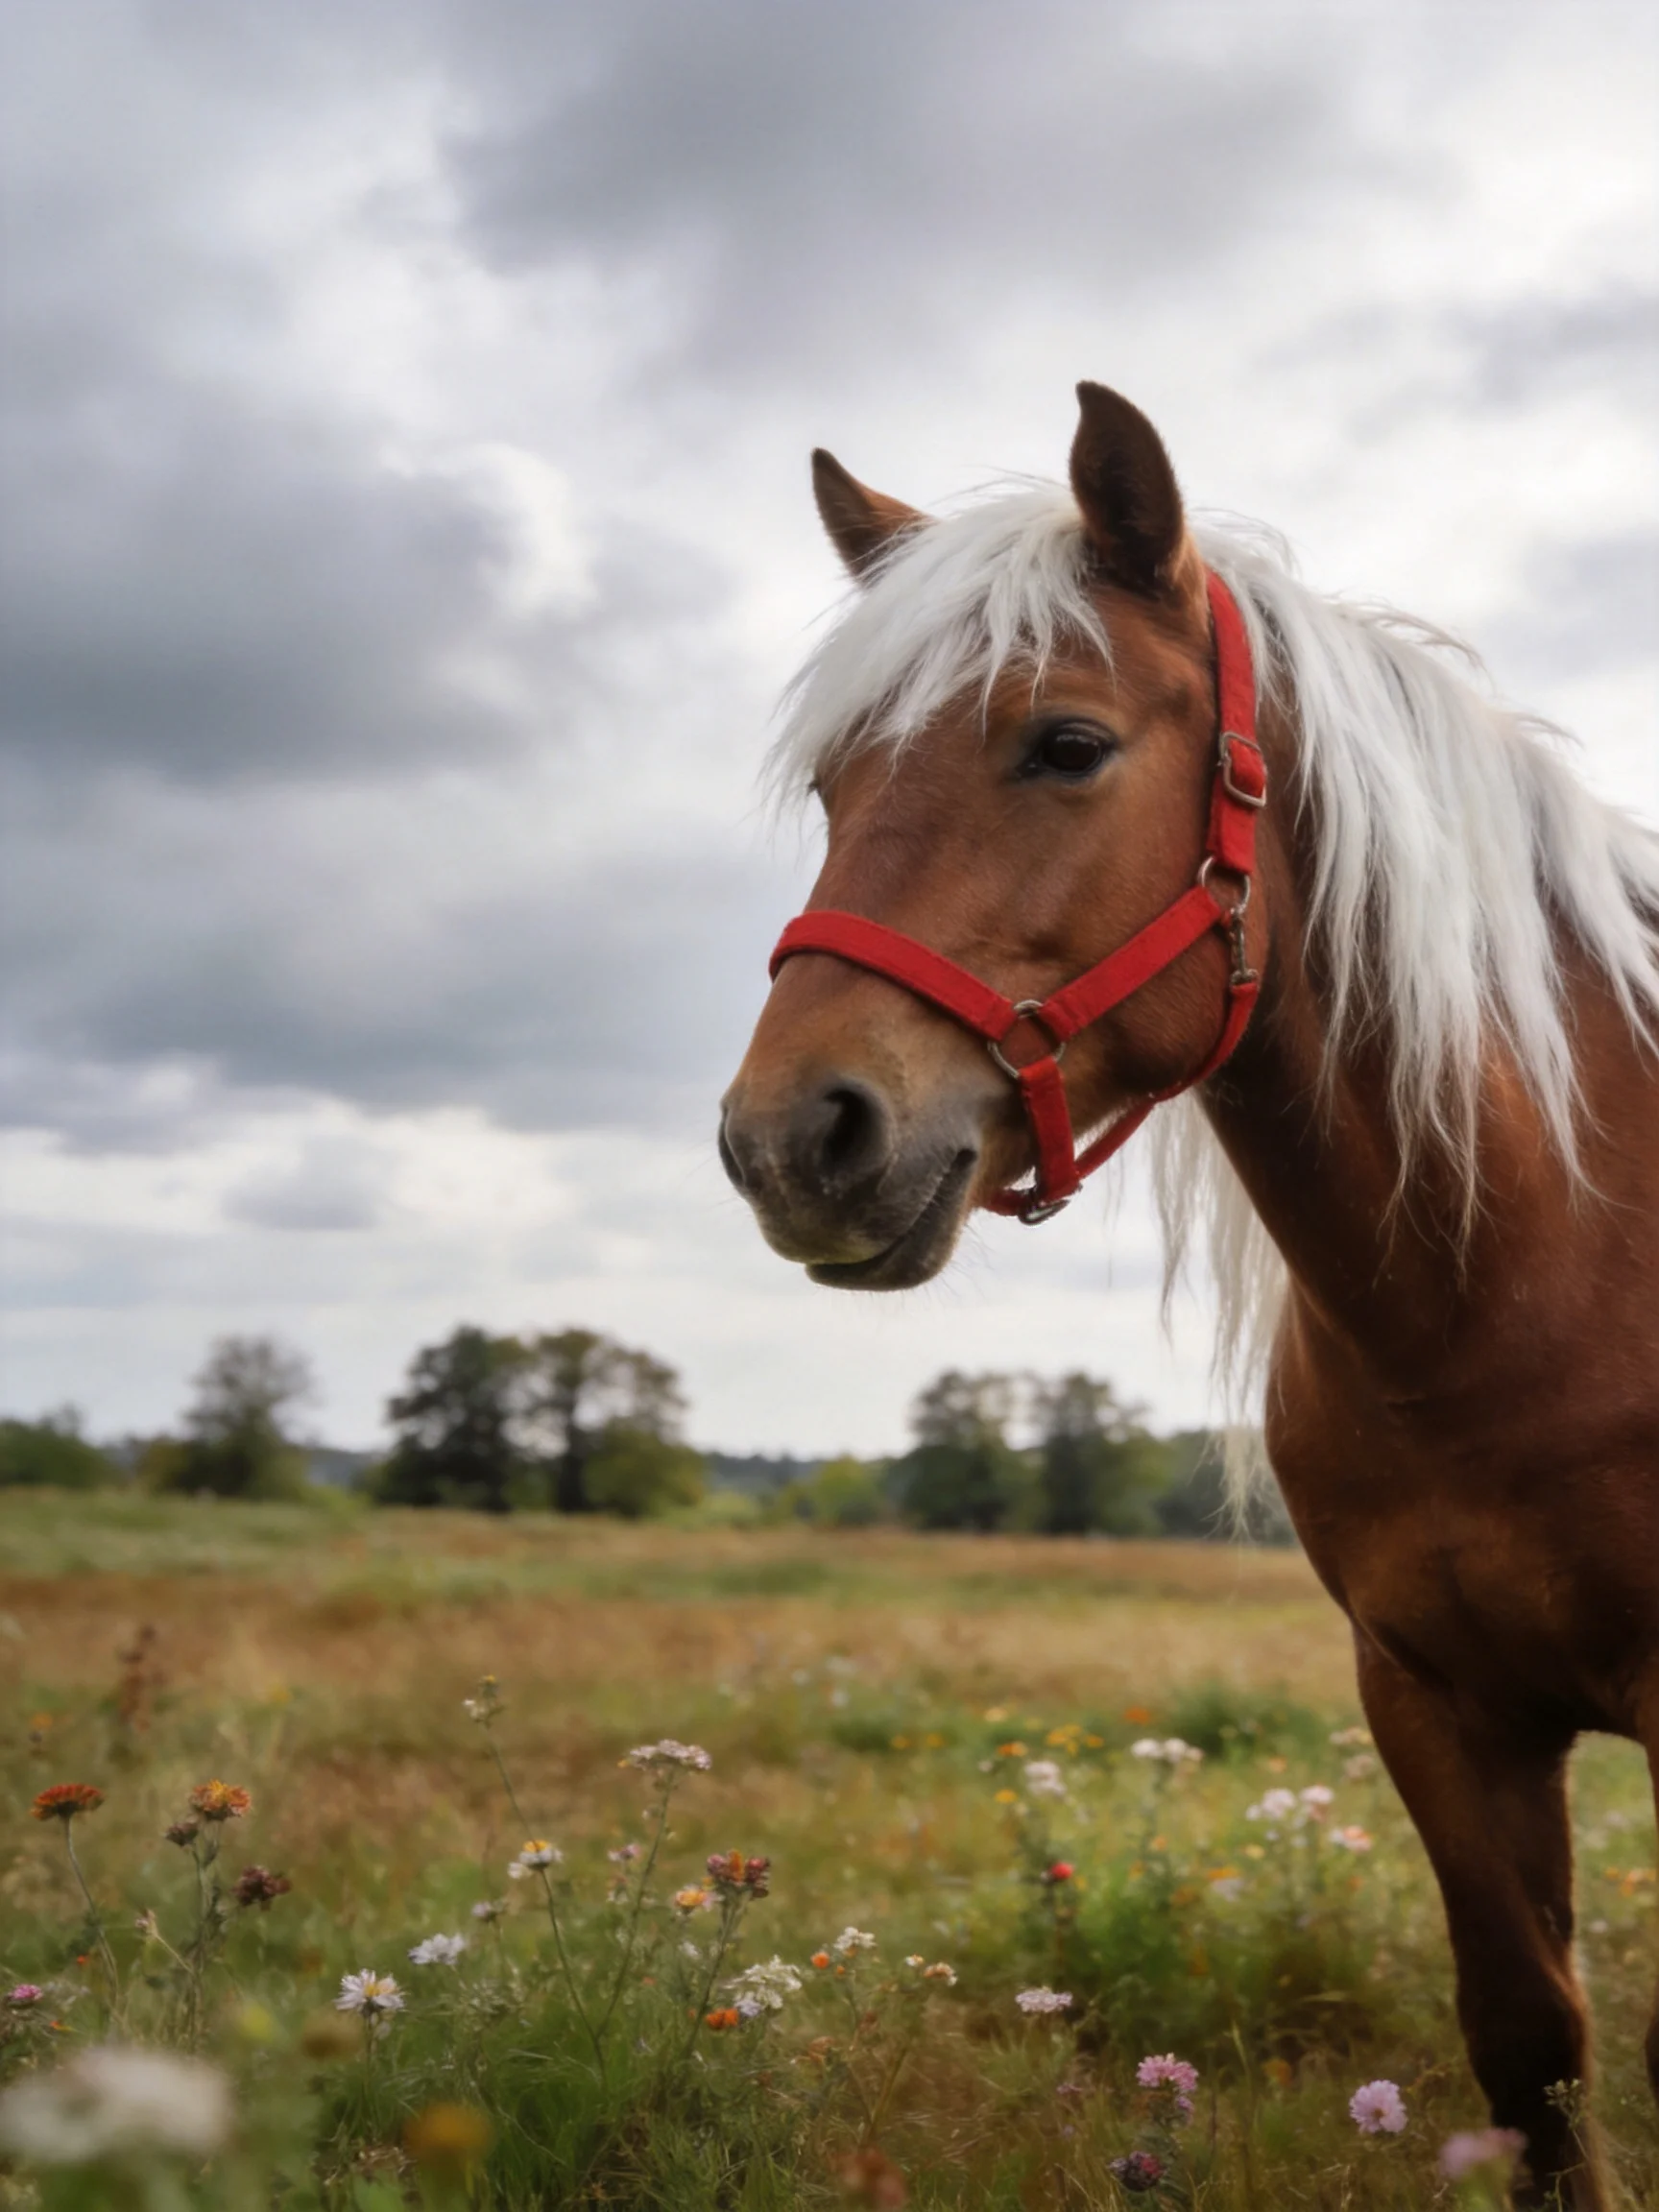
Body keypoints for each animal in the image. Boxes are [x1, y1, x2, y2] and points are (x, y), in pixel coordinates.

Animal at [718, 384, 1659, 2207]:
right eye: (832, 782)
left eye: (1067, 745)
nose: (792, 1138)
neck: (1539, 1276)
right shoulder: (1433, 1703)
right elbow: (1533, 2052)